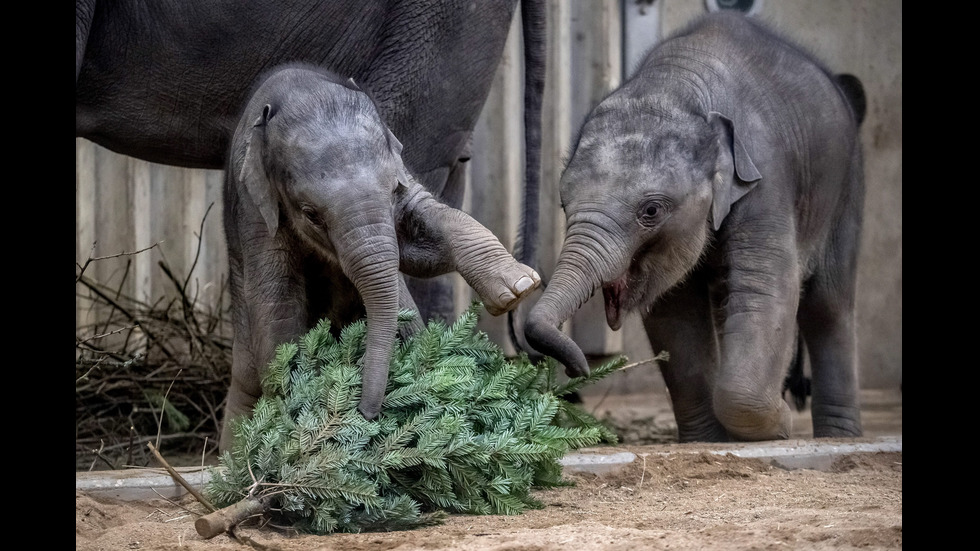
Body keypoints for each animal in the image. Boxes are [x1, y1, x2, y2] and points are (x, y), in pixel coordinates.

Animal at [223, 64, 540, 450]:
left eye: (390, 191)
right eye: (310, 214)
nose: (367, 413)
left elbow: (421, 239)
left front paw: (518, 288)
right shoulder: (254, 213)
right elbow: (278, 302)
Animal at [528, 12, 864, 442]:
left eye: (651, 210)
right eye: (563, 204)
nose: (578, 372)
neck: (678, 87)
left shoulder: (767, 175)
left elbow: (765, 286)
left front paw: (781, 425)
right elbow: (674, 312)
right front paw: (711, 440)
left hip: (846, 189)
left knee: (828, 305)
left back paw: (839, 438)